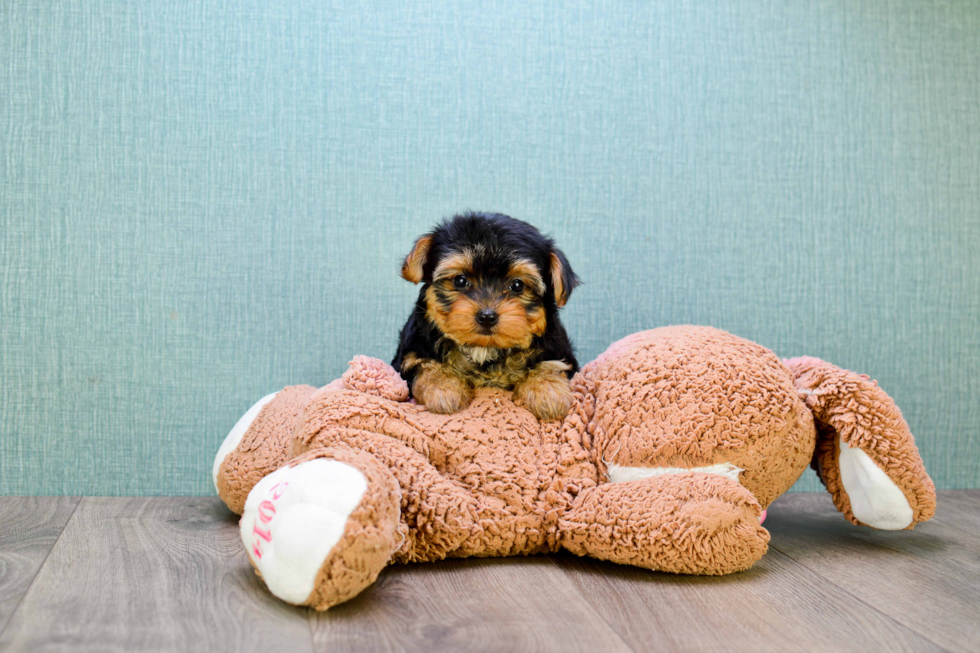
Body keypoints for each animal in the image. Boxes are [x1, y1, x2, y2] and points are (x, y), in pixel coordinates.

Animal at [392, 211, 580, 420]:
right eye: (460, 281)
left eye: (517, 285)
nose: (487, 316)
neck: (485, 349)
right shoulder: (411, 353)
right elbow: (423, 366)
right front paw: (443, 387)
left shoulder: (559, 350)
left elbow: (551, 364)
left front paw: (547, 390)